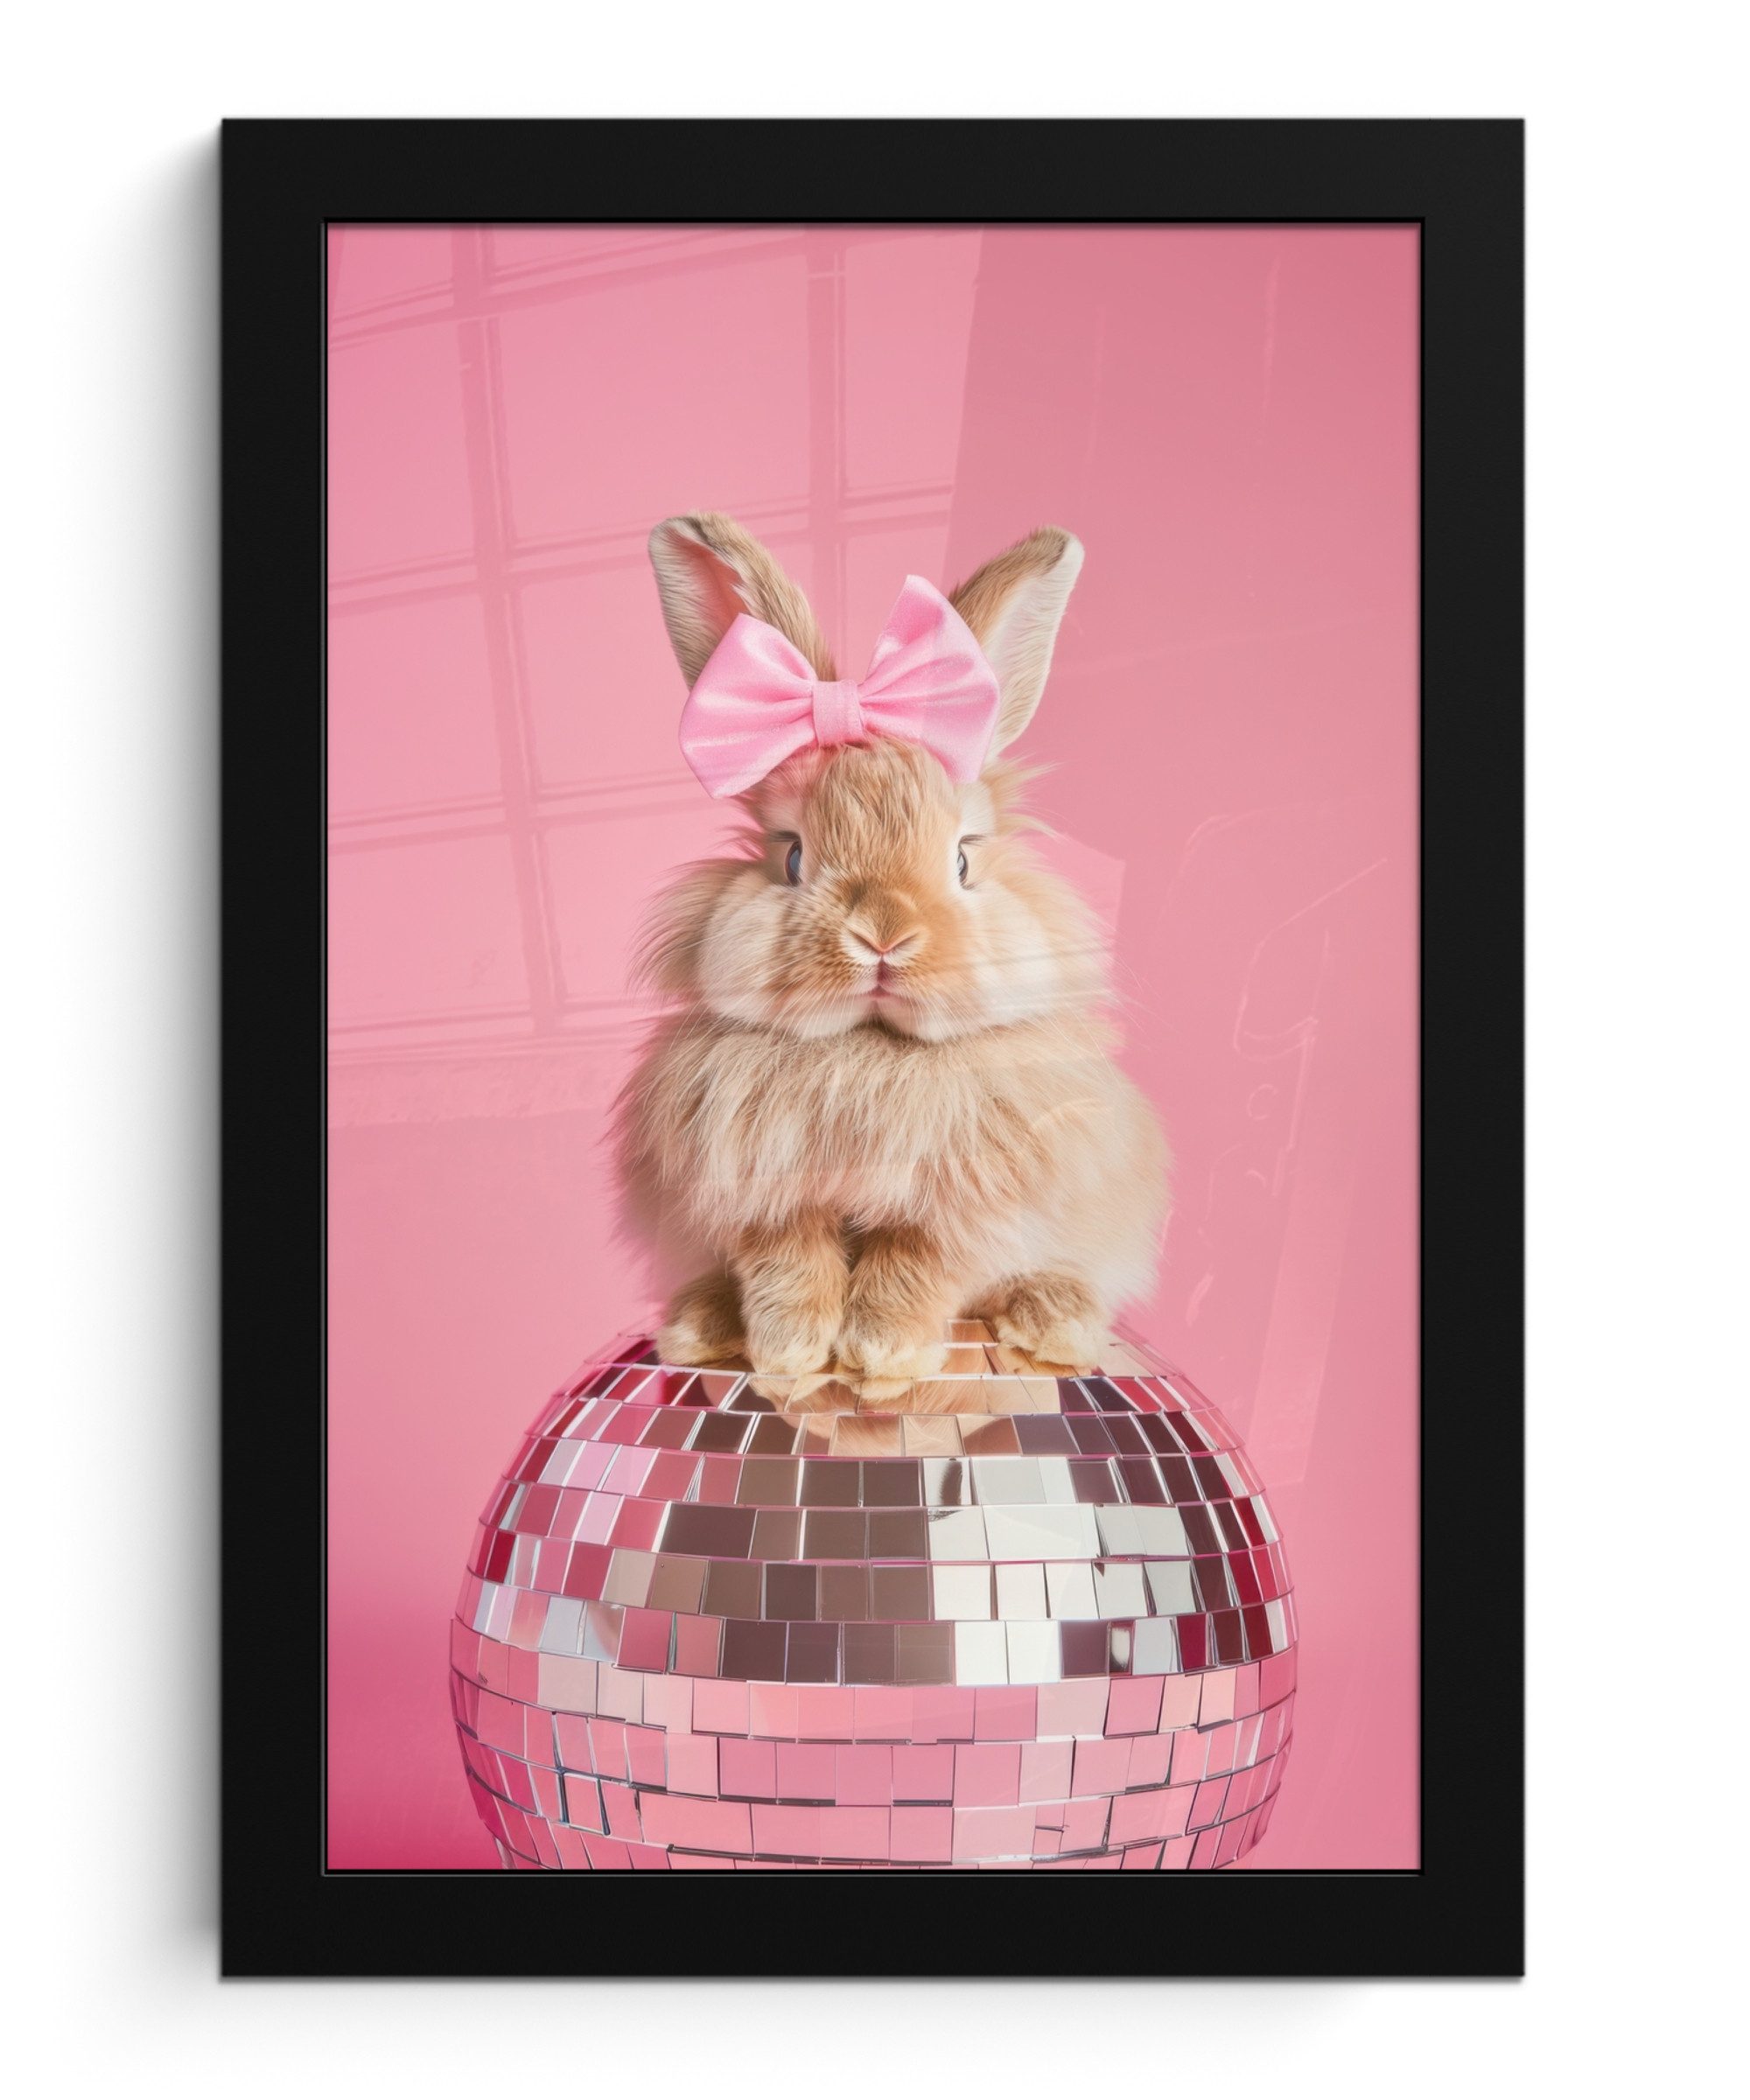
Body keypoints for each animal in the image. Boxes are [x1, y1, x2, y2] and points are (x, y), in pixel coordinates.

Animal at [616, 510, 1168, 1395]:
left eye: (965, 860)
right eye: (791, 856)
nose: (883, 933)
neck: (869, 1052)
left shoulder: (965, 1205)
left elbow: (916, 1262)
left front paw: (883, 1351)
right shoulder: (761, 1194)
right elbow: (787, 1260)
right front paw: (792, 1350)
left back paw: (1054, 1324)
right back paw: (700, 1328)